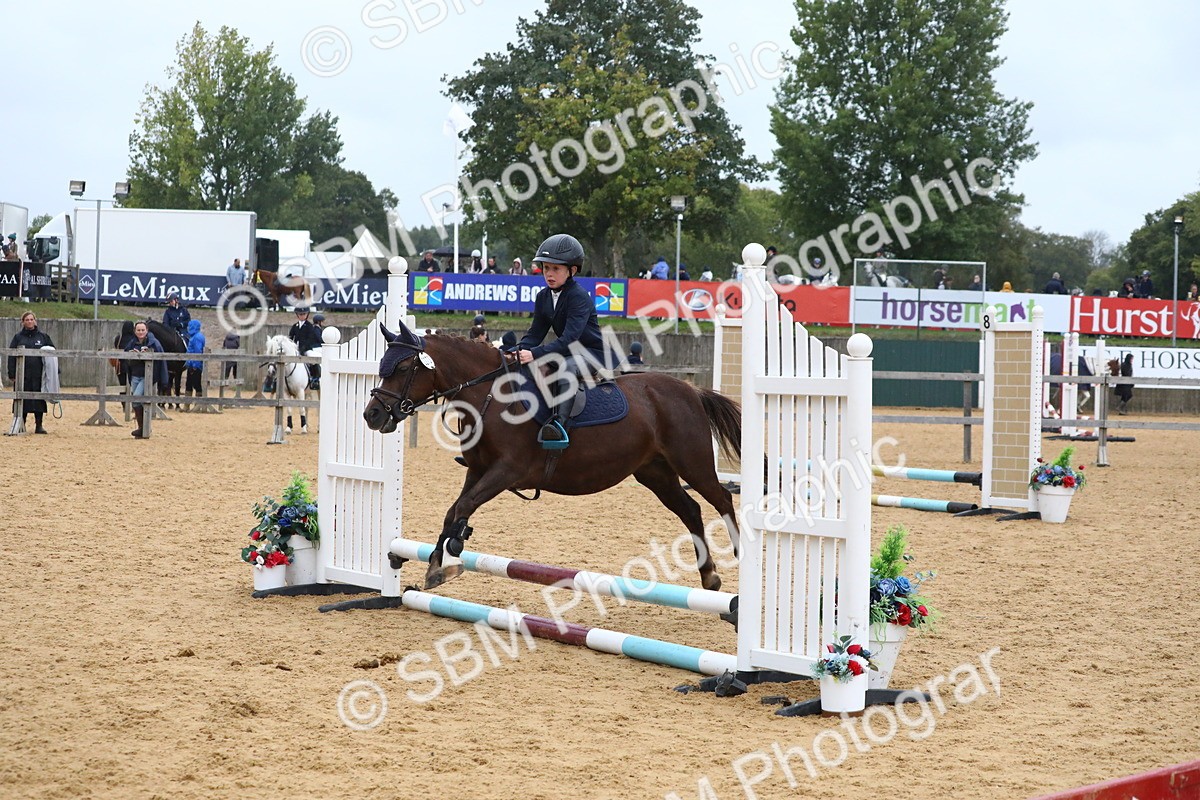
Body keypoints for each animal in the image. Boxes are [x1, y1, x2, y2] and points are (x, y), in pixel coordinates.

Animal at [361, 320, 743, 592]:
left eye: (401, 369)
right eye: (382, 366)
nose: (372, 415)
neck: (490, 396)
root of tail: (691, 390)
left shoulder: (508, 470)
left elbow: (464, 506)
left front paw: (456, 544)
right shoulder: (479, 470)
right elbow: (453, 510)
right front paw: (437, 565)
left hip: (691, 463)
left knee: (721, 498)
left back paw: (741, 555)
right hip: (656, 473)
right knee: (691, 510)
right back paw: (709, 577)